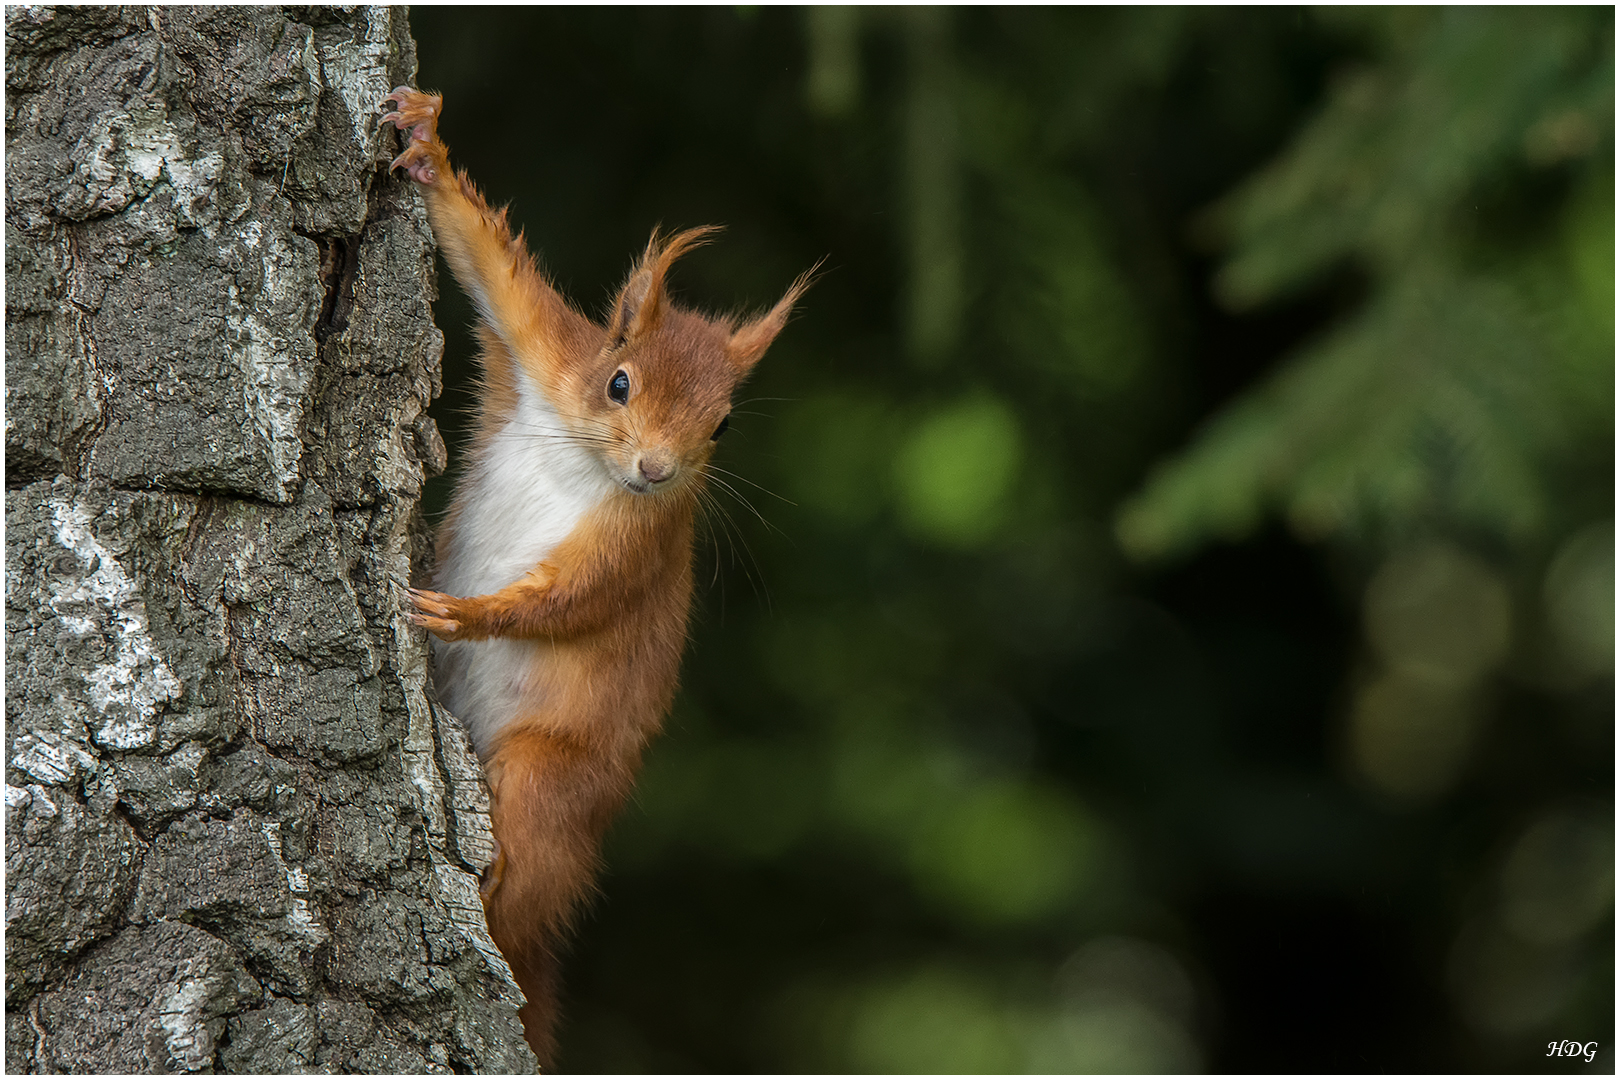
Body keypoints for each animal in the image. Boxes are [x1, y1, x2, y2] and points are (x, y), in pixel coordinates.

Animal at [380, 88, 810, 1068]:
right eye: (619, 382)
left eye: (723, 426)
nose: (656, 469)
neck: (586, 465)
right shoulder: (544, 354)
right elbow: (494, 273)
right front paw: (426, 143)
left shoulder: (639, 546)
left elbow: (571, 599)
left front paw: (466, 614)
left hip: (551, 778)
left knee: (525, 877)